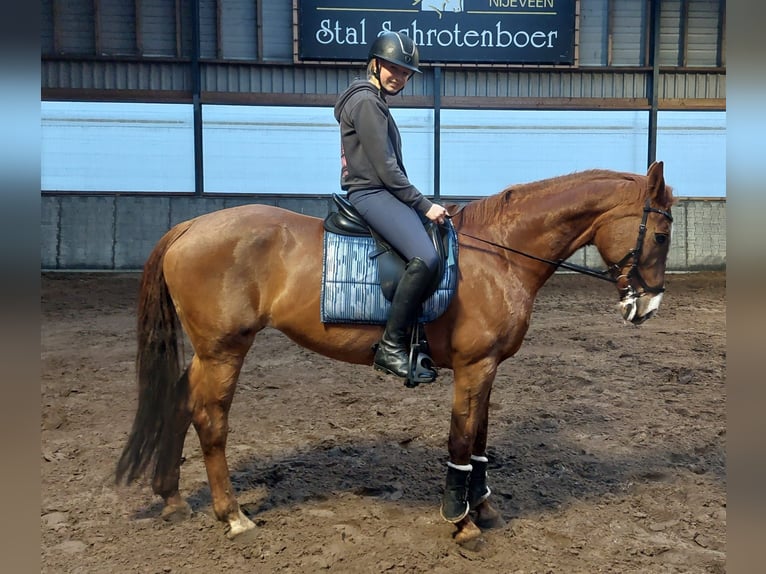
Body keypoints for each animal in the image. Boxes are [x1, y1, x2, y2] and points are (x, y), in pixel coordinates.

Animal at [115, 161, 675, 545]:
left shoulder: (488, 368)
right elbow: (460, 439)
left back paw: (172, 497)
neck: (500, 253)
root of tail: (190, 227)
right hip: (224, 349)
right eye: (663, 232)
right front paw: (461, 521)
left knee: (180, 402)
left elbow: (480, 437)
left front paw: (484, 508)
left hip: (208, 352)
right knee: (210, 419)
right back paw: (232, 515)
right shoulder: (473, 367)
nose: (647, 306)